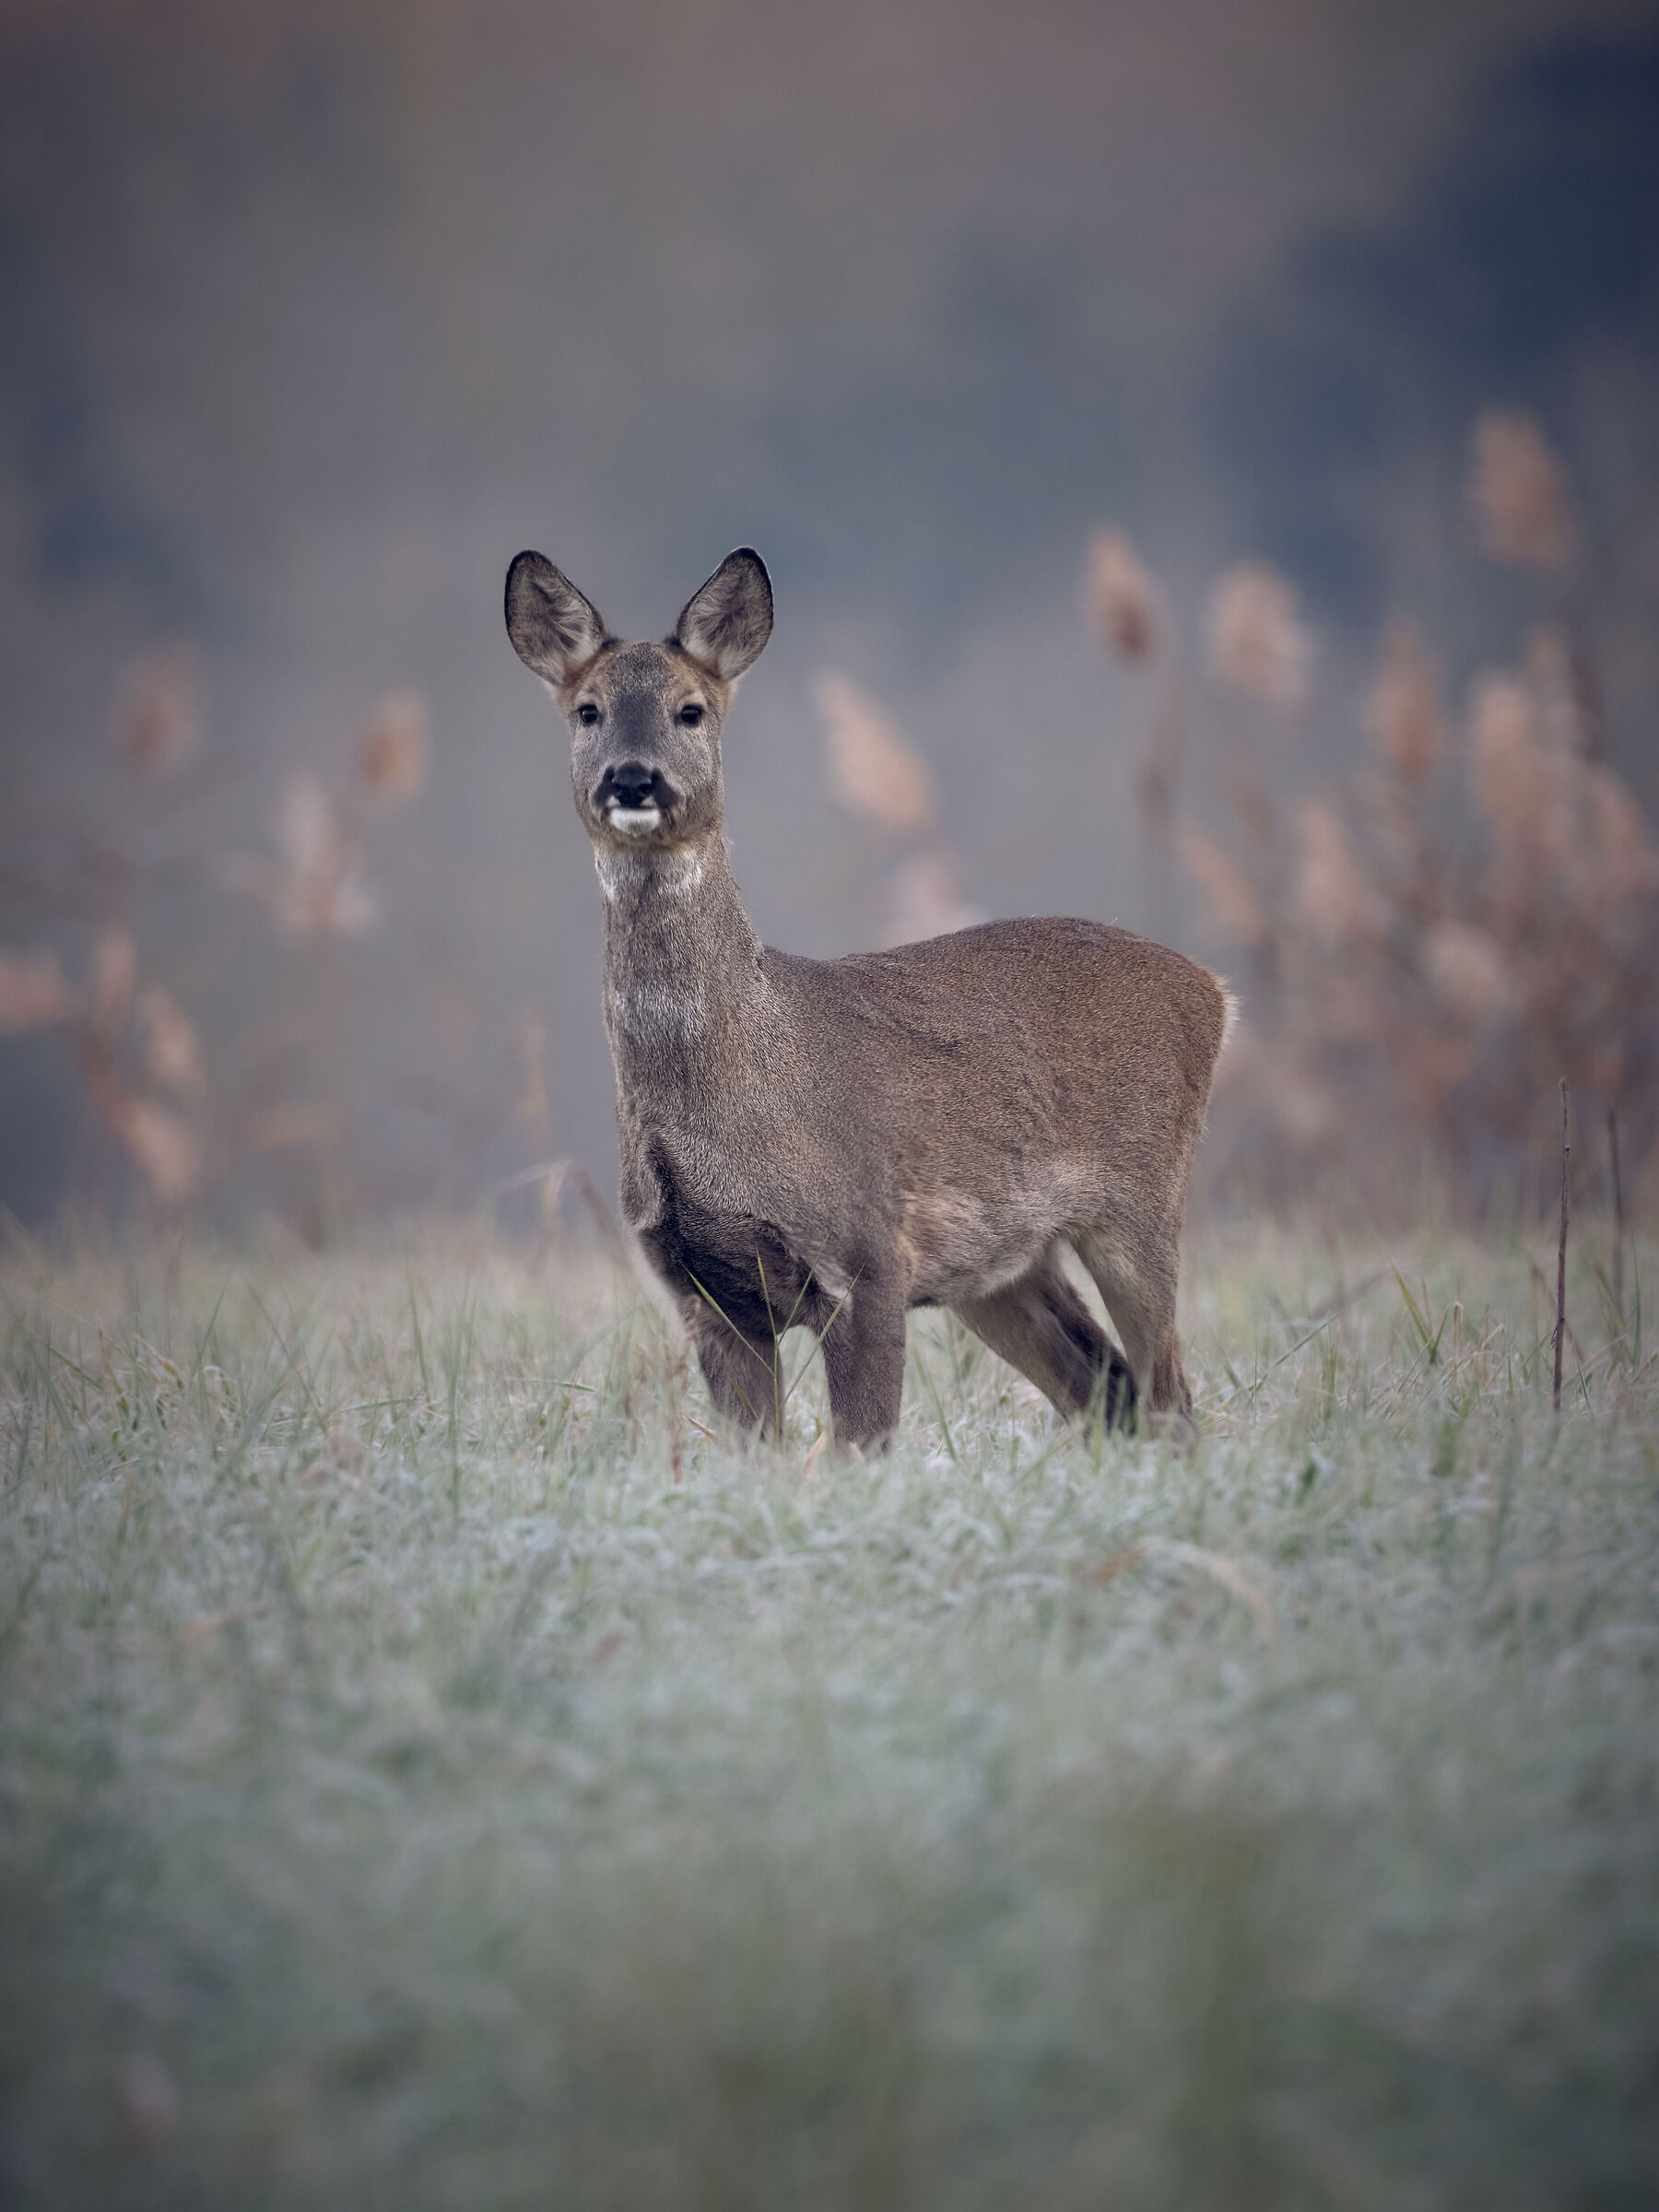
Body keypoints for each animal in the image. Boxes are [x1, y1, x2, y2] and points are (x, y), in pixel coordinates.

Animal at [505, 546, 1234, 1451]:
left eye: (691, 710)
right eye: (588, 711)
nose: (633, 778)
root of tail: (1213, 990)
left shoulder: (868, 1258)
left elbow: (861, 1447)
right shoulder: (704, 1294)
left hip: (1140, 1199)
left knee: (1169, 1393)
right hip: (1002, 1270)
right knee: (1109, 1388)